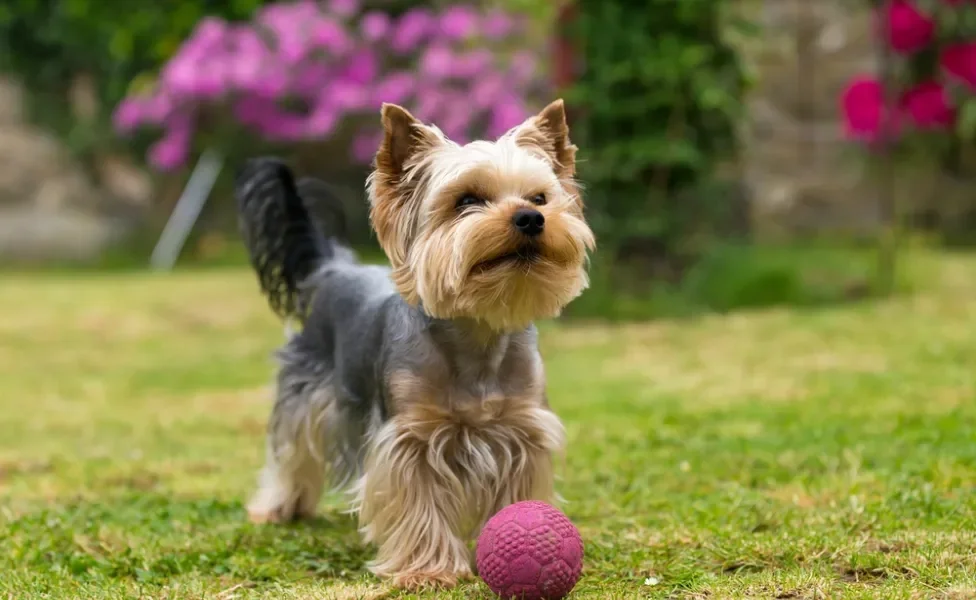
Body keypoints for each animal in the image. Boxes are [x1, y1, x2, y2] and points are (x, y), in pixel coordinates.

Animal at [237, 99, 600, 592]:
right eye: (467, 200)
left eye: (540, 198)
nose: (531, 218)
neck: (478, 331)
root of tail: (334, 266)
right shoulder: (410, 438)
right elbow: (417, 502)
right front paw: (426, 570)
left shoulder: (522, 431)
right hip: (305, 391)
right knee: (291, 450)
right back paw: (279, 508)